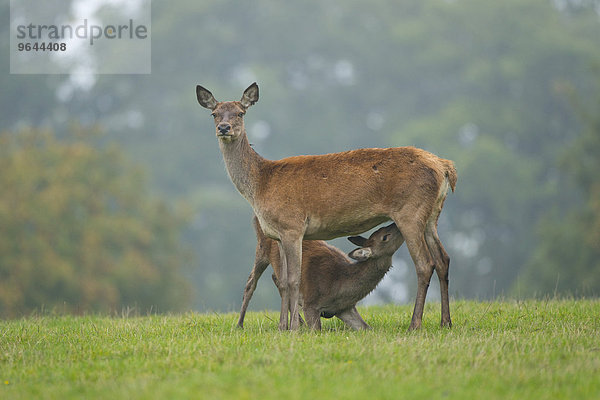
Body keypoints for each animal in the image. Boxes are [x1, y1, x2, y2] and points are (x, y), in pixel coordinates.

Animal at [238, 217, 404, 330]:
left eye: (382, 230)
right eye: (385, 236)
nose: (396, 224)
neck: (338, 285)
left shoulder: (345, 309)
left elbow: (366, 328)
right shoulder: (310, 303)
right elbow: (317, 329)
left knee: (276, 278)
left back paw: (297, 323)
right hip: (261, 249)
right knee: (251, 283)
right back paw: (240, 324)